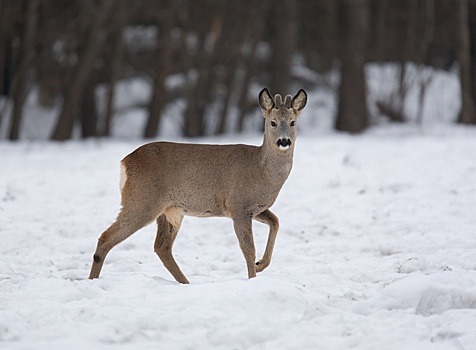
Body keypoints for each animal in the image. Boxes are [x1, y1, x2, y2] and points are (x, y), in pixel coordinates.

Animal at [87, 89, 306, 284]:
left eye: (293, 122)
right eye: (273, 122)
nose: (284, 141)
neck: (261, 170)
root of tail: (125, 162)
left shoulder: (255, 208)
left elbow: (276, 222)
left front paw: (261, 265)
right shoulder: (238, 205)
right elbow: (248, 249)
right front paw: (253, 277)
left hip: (170, 210)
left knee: (162, 247)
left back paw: (185, 283)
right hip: (142, 200)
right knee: (106, 237)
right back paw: (92, 280)